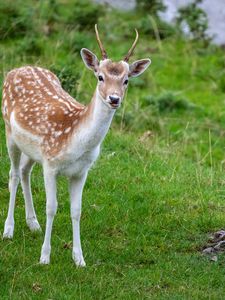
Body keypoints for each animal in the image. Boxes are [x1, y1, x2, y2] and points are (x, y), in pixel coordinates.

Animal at [1, 24, 150, 266]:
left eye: (126, 80)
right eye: (100, 76)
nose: (114, 99)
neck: (75, 142)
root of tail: (16, 69)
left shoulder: (81, 171)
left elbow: (76, 210)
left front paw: (79, 259)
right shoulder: (50, 164)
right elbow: (52, 208)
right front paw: (45, 257)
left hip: (31, 150)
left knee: (24, 171)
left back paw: (33, 223)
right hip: (9, 132)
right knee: (13, 174)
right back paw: (8, 229)